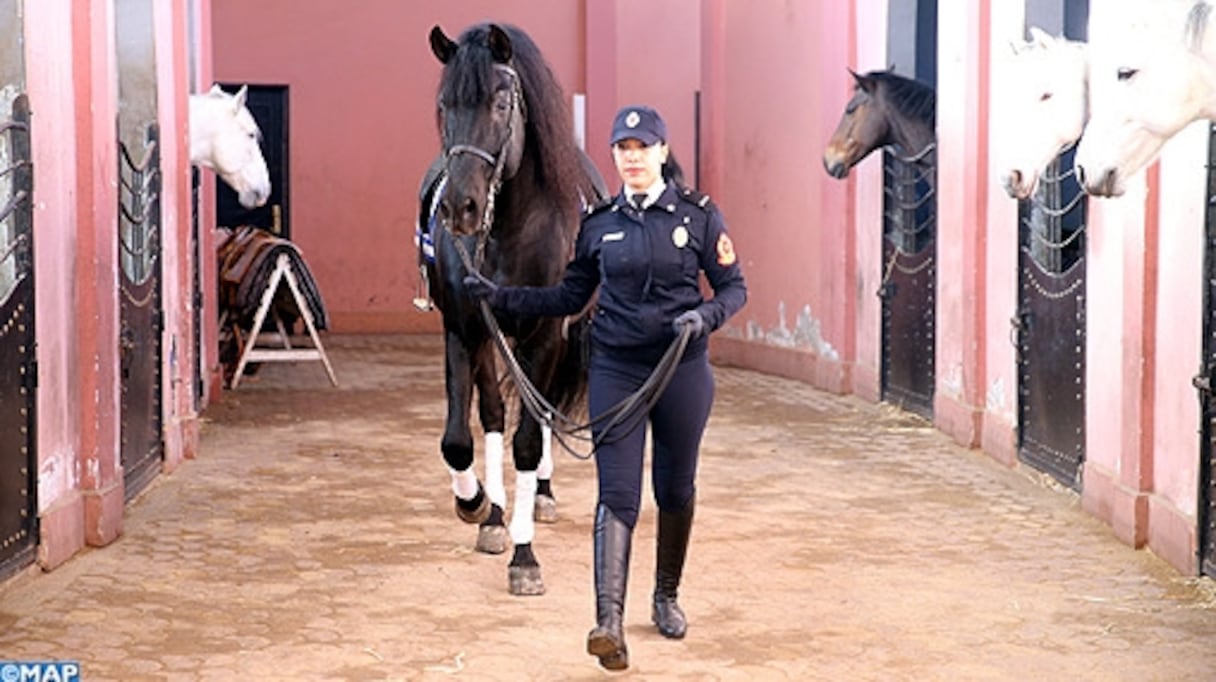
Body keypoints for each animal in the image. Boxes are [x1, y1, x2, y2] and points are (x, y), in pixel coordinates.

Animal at [423, 24, 608, 593]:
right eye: (444, 103)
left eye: (501, 102)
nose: (459, 207)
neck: (510, 228)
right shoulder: (463, 329)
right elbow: (459, 439)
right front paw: (478, 504)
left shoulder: (545, 335)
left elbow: (528, 440)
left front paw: (525, 558)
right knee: (492, 415)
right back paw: (496, 516)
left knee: (540, 413)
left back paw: (539, 498)